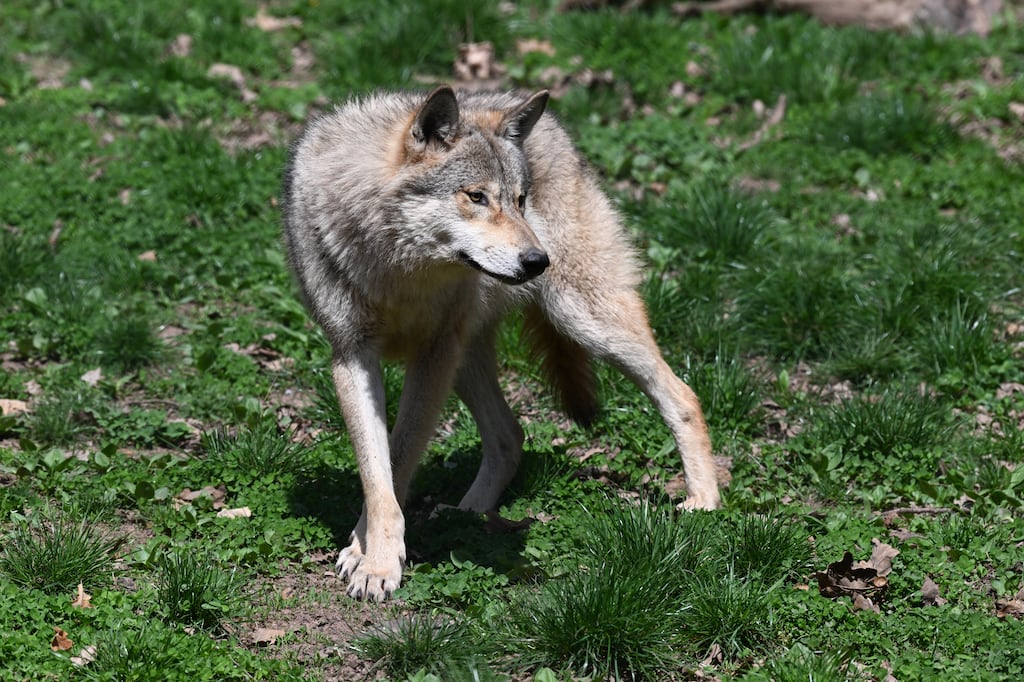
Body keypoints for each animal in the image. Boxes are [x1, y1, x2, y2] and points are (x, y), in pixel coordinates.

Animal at [282, 86, 721, 601]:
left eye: (519, 200)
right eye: (477, 197)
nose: (538, 261)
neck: (397, 272)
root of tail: (556, 129)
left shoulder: (433, 354)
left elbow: (399, 456)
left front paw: (372, 558)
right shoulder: (353, 357)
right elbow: (378, 473)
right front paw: (370, 552)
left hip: (581, 321)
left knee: (683, 394)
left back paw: (704, 499)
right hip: (467, 359)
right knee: (511, 435)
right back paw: (468, 513)